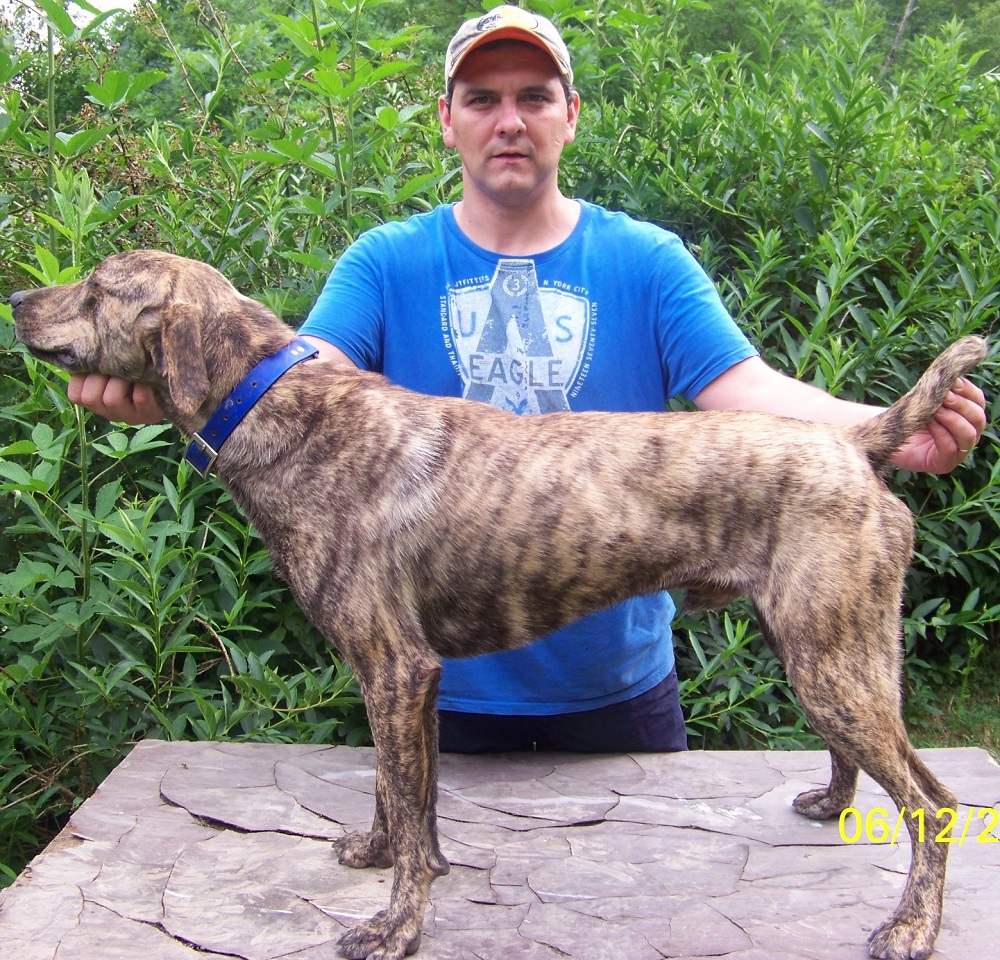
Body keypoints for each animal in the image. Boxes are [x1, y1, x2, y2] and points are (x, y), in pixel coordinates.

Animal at [11, 250, 987, 960]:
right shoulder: (402, 680)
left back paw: (912, 927)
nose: (17, 297)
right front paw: (382, 857)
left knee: (933, 803)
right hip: (833, 651)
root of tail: (854, 442)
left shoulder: (395, 669)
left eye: (97, 287)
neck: (286, 410)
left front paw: (395, 926)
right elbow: (402, 801)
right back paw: (832, 805)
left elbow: (409, 812)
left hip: (831, 660)